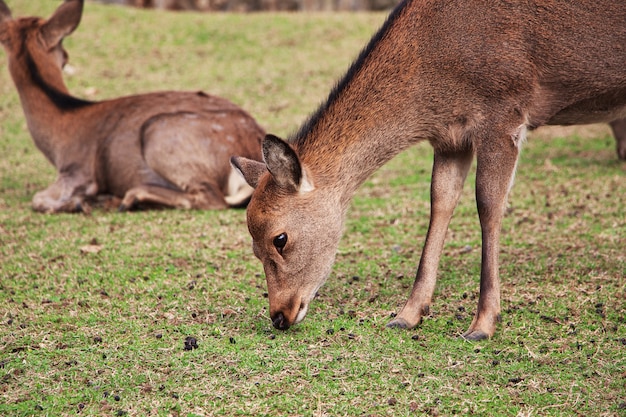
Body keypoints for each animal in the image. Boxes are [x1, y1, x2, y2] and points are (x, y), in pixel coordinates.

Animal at [0, 0, 264, 213]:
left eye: (65, 56)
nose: (65, 57)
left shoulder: (78, 171)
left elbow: (38, 199)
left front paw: (76, 203)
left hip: (158, 131)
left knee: (212, 197)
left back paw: (131, 198)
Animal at [233, 0, 624, 338]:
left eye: (279, 238)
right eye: (252, 247)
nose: (279, 316)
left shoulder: (505, 113)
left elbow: (489, 206)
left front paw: (483, 323)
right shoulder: (450, 137)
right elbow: (440, 203)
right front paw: (407, 315)